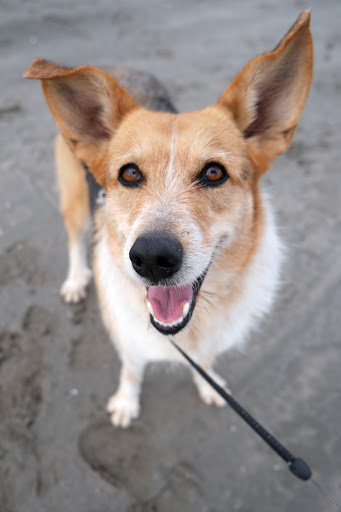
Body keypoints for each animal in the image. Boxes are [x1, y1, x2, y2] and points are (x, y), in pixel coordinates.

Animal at [22, 12, 312, 428]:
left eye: (214, 173)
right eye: (129, 174)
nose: (152, 258)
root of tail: (118, 65)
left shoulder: (208, 342)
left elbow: (206, 361)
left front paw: (209, 385)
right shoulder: (129, 339)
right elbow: (131, 369)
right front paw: (126, 403)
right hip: (74, 201)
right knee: (75, 241)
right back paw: (76, 280)